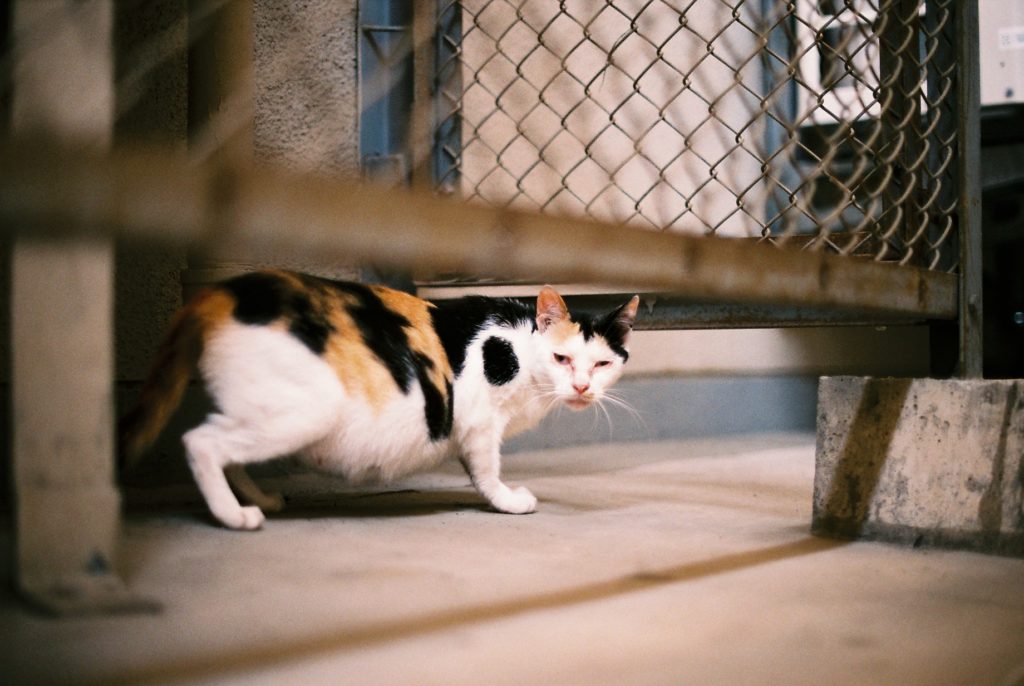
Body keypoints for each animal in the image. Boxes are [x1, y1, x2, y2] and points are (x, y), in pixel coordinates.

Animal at [120, 269, 639, 530]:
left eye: (601, 365)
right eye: (561, 358)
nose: (581, 388)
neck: (521, 349)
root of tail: (218, 292)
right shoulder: (481, 423)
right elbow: (486, 470)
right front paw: (507, 501)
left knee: (227, 448)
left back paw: (258, 499)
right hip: (302, 411)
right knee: (201, 442)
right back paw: (234, 516)